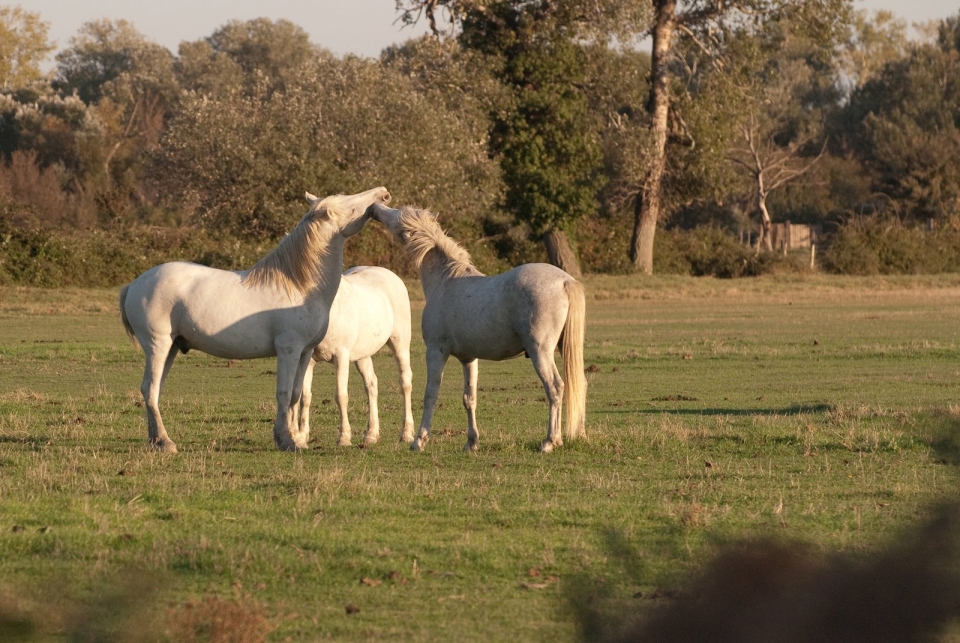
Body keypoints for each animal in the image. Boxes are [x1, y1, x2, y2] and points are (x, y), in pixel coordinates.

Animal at [119, 187, 391, 453]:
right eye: (350, 204)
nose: (383, 193)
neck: (298, 285)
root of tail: (134, 285)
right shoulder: (288, 350)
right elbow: (283, 393)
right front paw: (286, 440)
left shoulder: (305, 353)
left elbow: (296, 394)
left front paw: (293, 438)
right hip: (158, 345)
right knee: (150, 389)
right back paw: (164, 442)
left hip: (172, 348)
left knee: (155, 390)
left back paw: (156, 440)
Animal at [298, 265, 415, 447]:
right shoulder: (308, 360)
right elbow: (305, 397)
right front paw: (301, 437)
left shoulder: (341, 356)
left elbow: (341, 396)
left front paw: (344, 438)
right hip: (363, 356)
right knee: (371, 384)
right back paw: (371, 435)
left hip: (400, 343)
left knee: (405, 382)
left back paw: (407, 433)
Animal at [367, 203, 587, 453]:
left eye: (395, 215)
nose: (374, 208)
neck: (446, 281)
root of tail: (565, 281)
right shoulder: (469, 358)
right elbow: (469, 398)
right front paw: (471, 442)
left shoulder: (436, 352)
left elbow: (430, 394)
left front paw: (419, 440)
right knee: (578, 384)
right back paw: (574, 435)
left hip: (541, 352)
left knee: (555, 388)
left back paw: (550, 441)